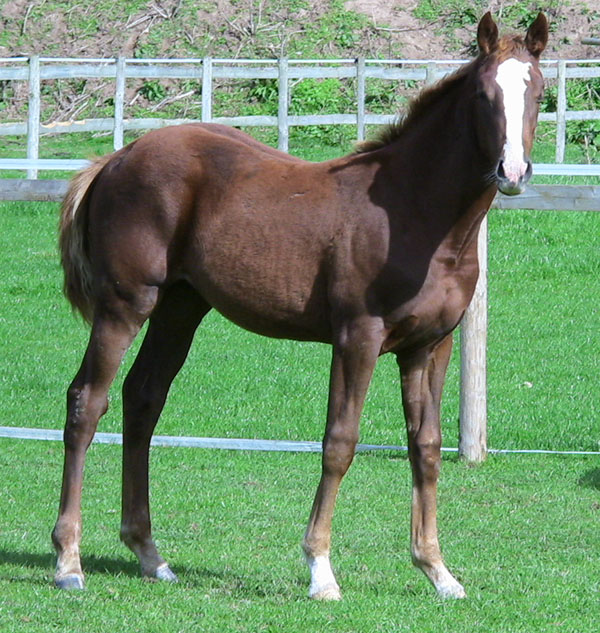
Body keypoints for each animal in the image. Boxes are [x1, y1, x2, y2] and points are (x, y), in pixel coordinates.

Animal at [51, 13, 548, 596]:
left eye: (539, 92)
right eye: (483, 93)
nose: (512, 172)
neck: (416, 214)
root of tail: (117, 158)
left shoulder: (429, 345)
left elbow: (426, 446)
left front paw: (437, 570)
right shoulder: (357, 337)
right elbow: (340, 442)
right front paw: (321, 570)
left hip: (180, 308)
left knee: (143, 398)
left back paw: (150, 555)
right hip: (125, 304)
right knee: (87, 401)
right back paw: (68, 561)